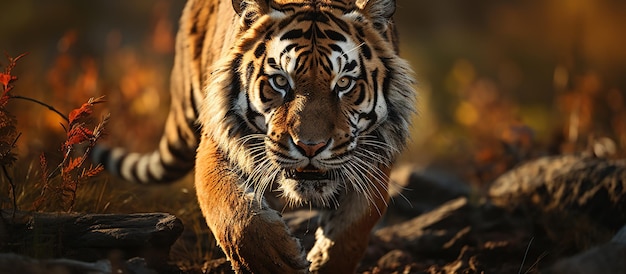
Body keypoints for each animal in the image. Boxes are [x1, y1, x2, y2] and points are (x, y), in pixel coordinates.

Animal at [92, 0, 414, 272]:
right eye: (280, 81)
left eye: (344, 83)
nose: (310, 147)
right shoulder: (219, 140)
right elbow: (234, 213)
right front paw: (274, 262)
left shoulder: (374, 152)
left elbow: (353, 226)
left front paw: (325, 262)